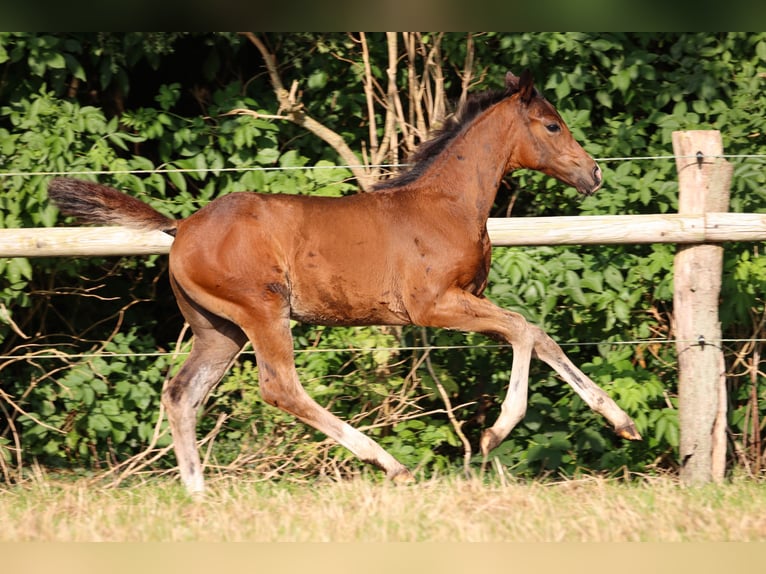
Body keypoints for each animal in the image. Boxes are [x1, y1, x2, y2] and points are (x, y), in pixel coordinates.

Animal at [48, 71, 640, 496]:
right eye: (552, 126)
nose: (594, 174)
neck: (445, 205)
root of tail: (181, 227)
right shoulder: (433, 306)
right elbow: (522, 330)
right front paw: (495, 433)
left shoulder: (467, 299)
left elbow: (540, 336)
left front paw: (622, 421)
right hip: (262, 312)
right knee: (279, 387)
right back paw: (389, 464)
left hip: (219, 328)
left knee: (181, 393)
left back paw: (198, 493)